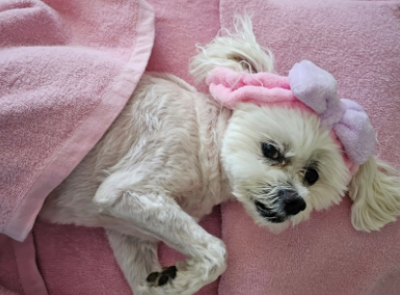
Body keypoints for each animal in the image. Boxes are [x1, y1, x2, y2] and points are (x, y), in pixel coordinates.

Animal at [39, 15, 400, 295]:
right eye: (271, 150)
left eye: (312, 175)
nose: (294, 201)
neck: (204, 138)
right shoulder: (131, 187)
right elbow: (217, 251)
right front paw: (185, 277)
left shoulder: (126, 229)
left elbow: (142, 277)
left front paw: (167, 282)